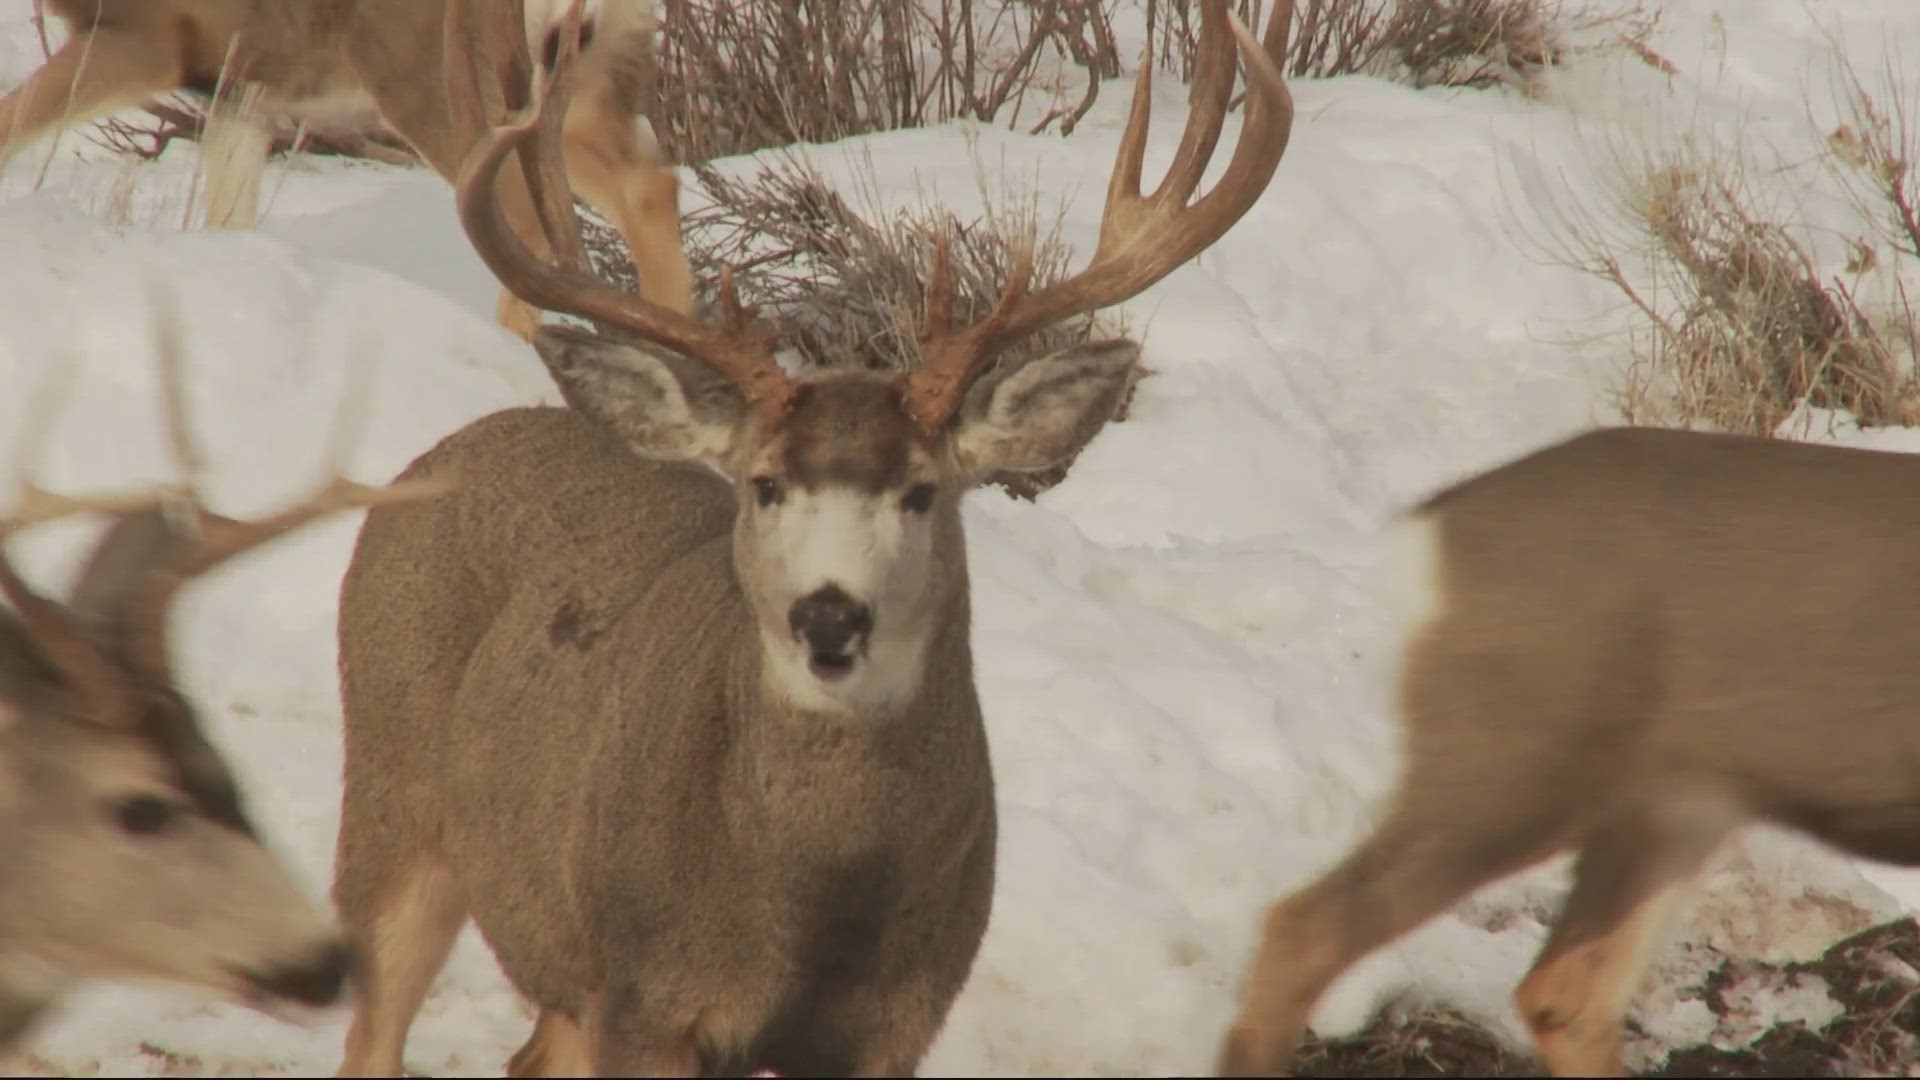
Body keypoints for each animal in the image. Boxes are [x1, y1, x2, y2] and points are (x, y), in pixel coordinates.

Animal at [3, 0, 695, 336]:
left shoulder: (145, 33)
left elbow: (10, 120)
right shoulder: (246, 81)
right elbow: (230, 217)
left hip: (429, 70)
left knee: (519, 215)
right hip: (573, 77)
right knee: (646, 185)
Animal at [326, 0, 1305, 1068]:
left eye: (922, 492)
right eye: (763, 486)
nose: (829, 617)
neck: (809, 913)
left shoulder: (898, 1022)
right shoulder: (647, 1001)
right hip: (391, 802)